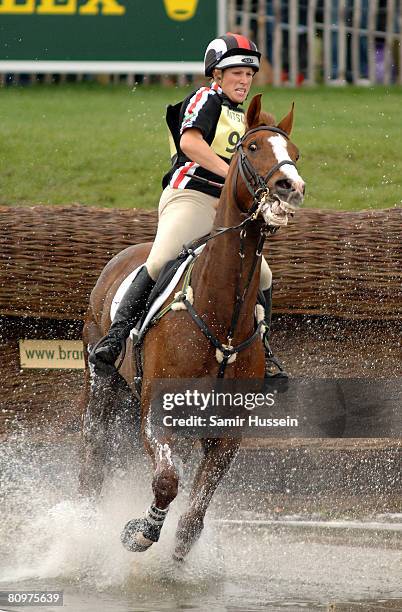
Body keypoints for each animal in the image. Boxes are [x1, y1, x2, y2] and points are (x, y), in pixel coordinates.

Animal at [79, 94, 304, 560]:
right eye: (252, 147)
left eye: (295, 153)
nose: (291, 188)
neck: (221, 318)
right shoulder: (157, 415)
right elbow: (167, 482)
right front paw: (141, 531)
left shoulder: (226, 431)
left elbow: (194, 515)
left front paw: (176, 550)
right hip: (101, 383)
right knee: (93, 458)